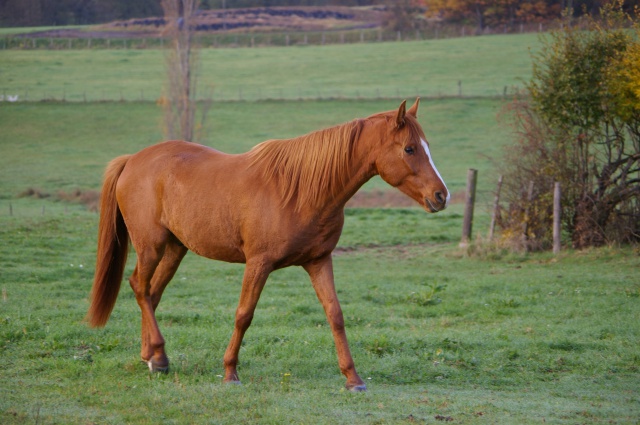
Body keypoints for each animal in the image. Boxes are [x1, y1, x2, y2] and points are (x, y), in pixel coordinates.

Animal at [87, 97, 450, 390]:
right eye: (409, 149)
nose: (441, 196)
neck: (302, 190)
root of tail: (132, 160)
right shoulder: (258, 263)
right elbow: (244, 314)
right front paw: (230, 373)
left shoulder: (319, 260)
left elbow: (335, 314)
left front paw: (353, 378)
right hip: (151, 246)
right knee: (140, 286)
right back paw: (159, 358)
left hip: (176, 248)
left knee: (152, 292)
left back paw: (151, 355)